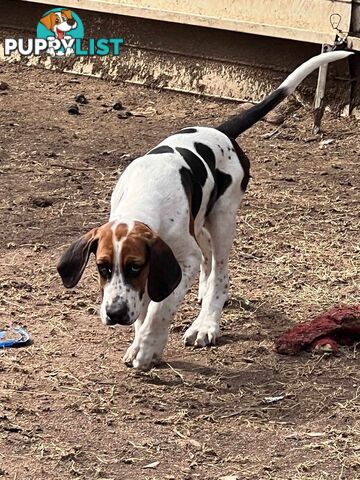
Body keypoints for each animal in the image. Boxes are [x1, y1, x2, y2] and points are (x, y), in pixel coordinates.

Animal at [58, 49, 352, 372]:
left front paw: (147, 347)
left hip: (223, 218)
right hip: (200, 219)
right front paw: (143, 339)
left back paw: (206, 323)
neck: (143, 198)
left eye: (135, 266)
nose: (116, 314)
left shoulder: (181, 260)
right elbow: (149, 304)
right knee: (208, 257)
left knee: (220, 274)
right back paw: (202, 291)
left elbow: (161, 307)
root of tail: (221, 132)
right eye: (102, 267)